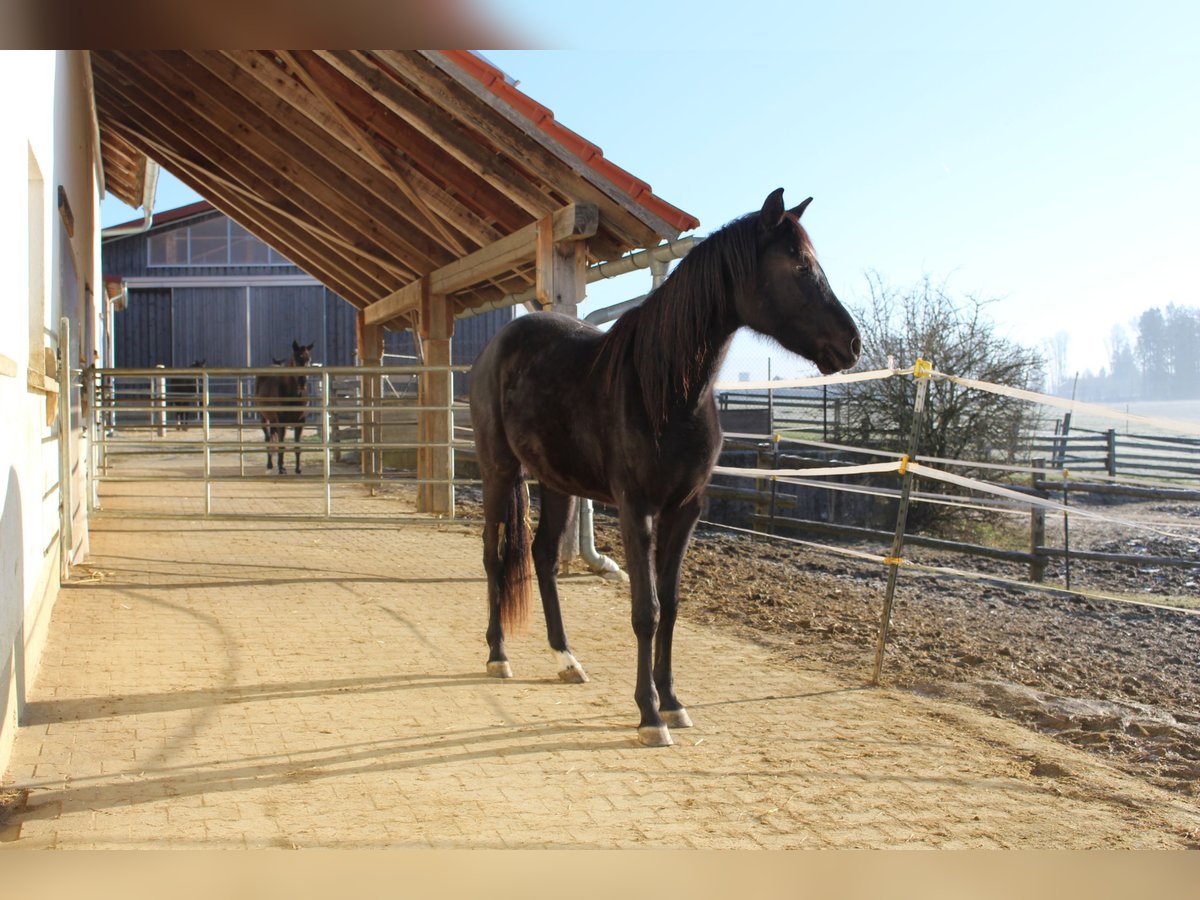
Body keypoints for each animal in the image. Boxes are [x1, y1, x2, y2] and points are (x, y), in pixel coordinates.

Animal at [254, 340, 312, 480]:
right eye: (296, 358)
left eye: (309, 359)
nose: (302, 382)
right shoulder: (282, 422)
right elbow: (282, 444)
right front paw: (282, 468)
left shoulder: (301, 422)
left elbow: (297, 446)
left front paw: (298, 469)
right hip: (264, 418)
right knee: (268, 439)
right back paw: (269, 466)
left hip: (273, 421)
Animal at [468, 188, 864, 748]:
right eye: (798, 265)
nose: (852, 344)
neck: (664, 389)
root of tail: (497, 347)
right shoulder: (637, 510)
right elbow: (646, 610)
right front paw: (649, 714)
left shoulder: (685, 511)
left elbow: (672, 606)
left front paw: (673, 702)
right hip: (499, 471)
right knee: (494, 555)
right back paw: (498, 654)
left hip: (557, 481)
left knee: (543, 556)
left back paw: (566, 659)